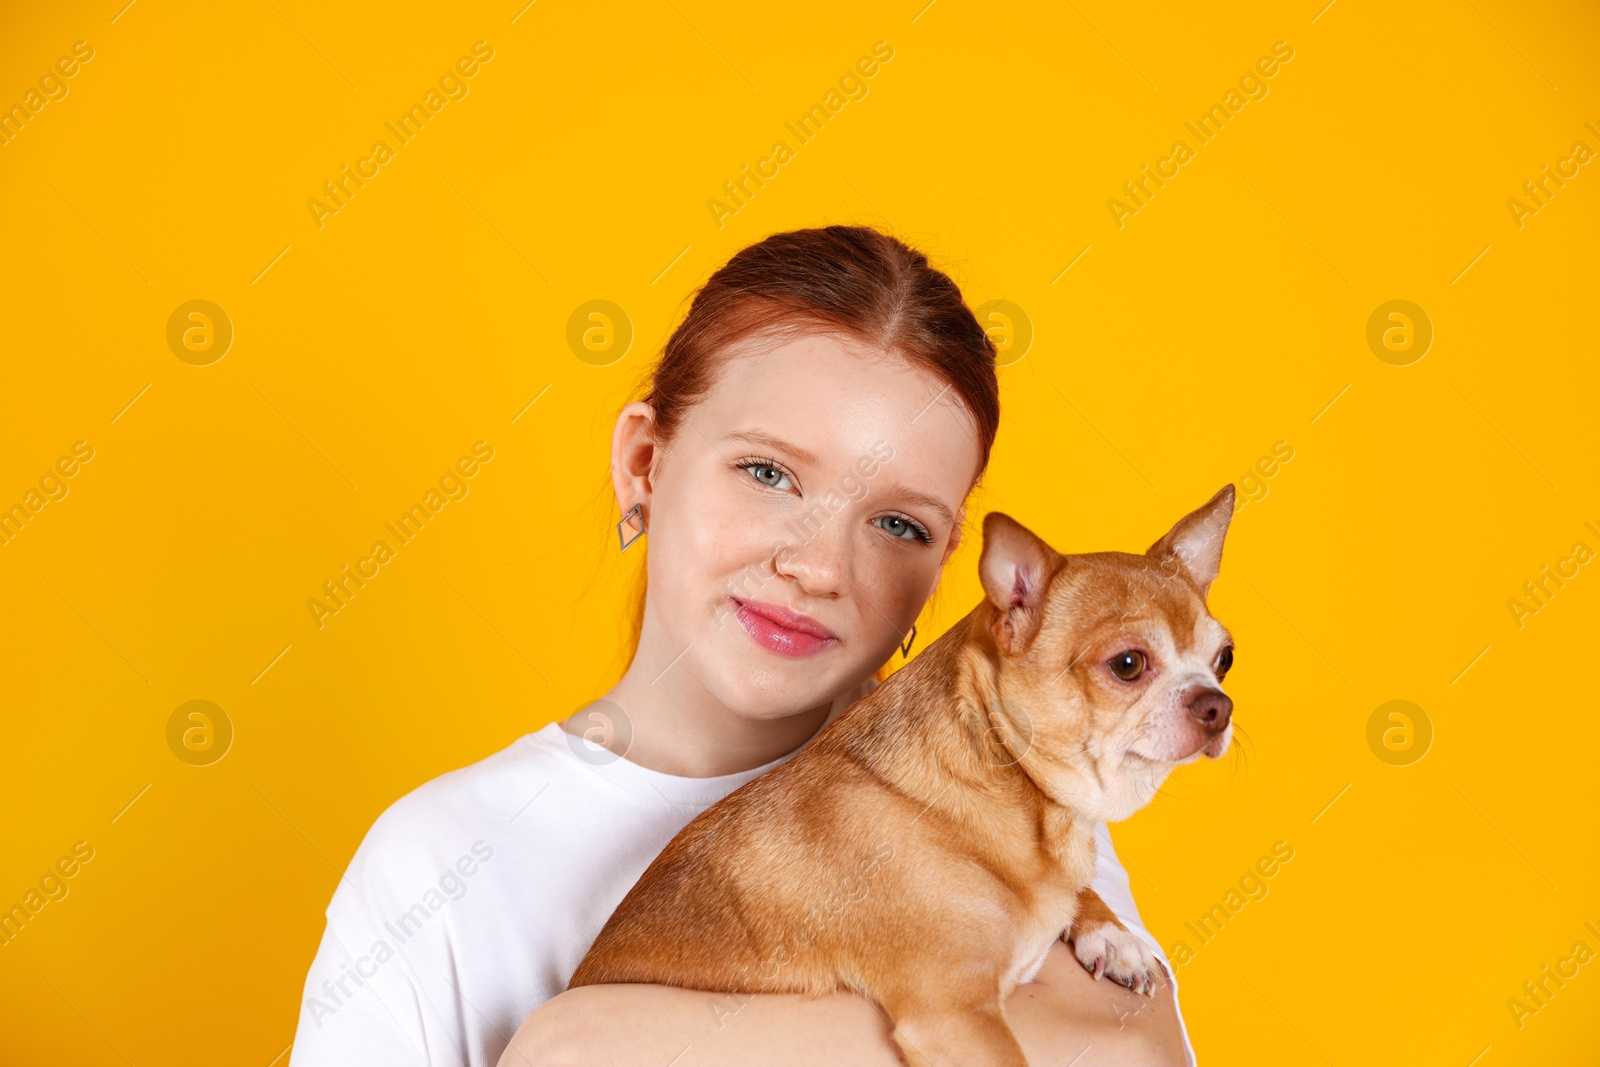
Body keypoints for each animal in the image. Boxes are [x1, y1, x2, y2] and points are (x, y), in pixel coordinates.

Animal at [572, 486, 1235, 1067]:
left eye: (1225, 658)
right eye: (1128, 664)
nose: (1217, 705)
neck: (1024, 803)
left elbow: (1080, 888)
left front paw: (1115, 936)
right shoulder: (955, 1019)